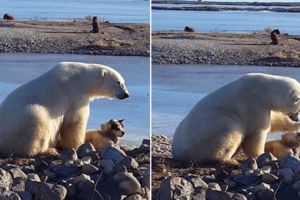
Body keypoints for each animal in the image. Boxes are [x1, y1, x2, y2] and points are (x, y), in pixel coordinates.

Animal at [0, 61, 129, 157]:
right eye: (118, 82)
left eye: (123, 82)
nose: (126, 94)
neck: (83, 78)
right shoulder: (75, 93)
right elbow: (74, 122)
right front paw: (78, 144)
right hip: (24, 120)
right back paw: (49, 150)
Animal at [171, 73, 300, 164]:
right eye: (298, 109)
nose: (297, 118)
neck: (266, 88)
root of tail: (176, 152)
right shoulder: (254, 103)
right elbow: (256, 133)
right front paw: (262, 155)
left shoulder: (265, 106)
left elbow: (275, 120)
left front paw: (296, 126)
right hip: (209, 133)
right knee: (231, 131)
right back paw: (230, 160)